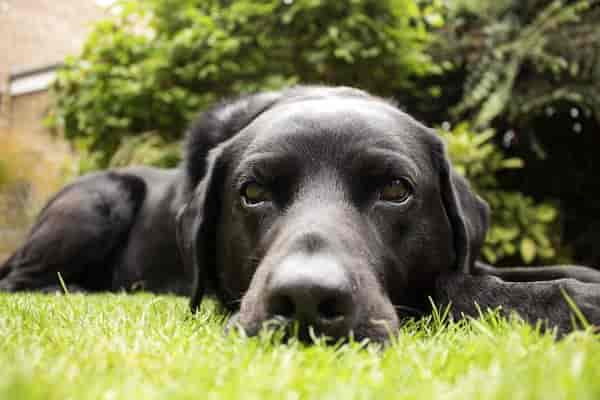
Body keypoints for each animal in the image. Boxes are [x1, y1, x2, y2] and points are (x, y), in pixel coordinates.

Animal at [1, 86, 600, 340]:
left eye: (396, 189)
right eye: (252, 192)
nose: (308, 299)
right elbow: (457, 288)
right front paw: (571, 302)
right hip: (101, 198)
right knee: (18, 278)